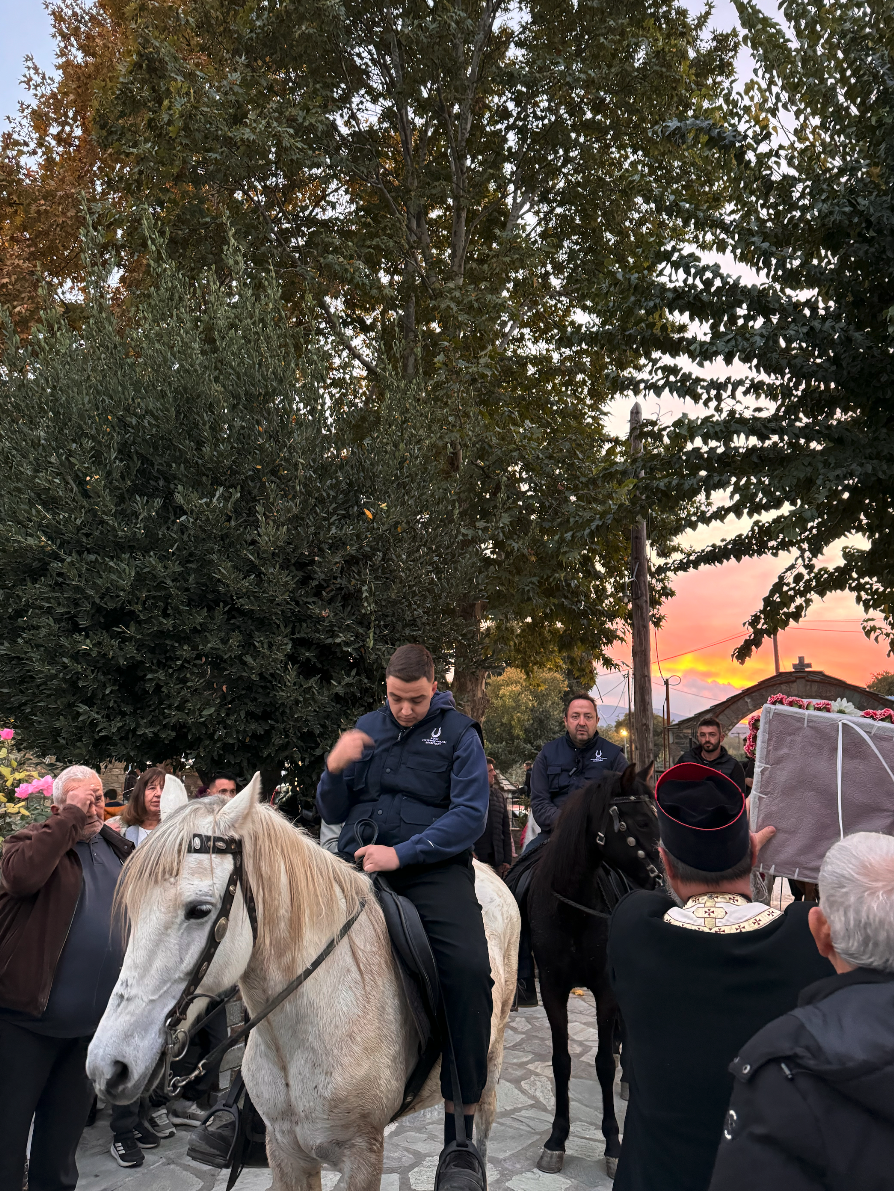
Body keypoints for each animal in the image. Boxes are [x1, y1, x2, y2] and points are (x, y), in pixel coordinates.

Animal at [87, 776, 521, 1186]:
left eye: (199, 910)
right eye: (132, 907)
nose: (108, 1066)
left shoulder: (363, 1155)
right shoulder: (285, 1152)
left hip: (490, 1060)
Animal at [528, 767, 661, 1176]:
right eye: (642, 822)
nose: (661, 877)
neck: (571, 910)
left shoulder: (605, 990)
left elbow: (603, 1063)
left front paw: (613, 1145)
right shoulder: (552, 990)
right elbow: (561, 1062)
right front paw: (556, 1139)